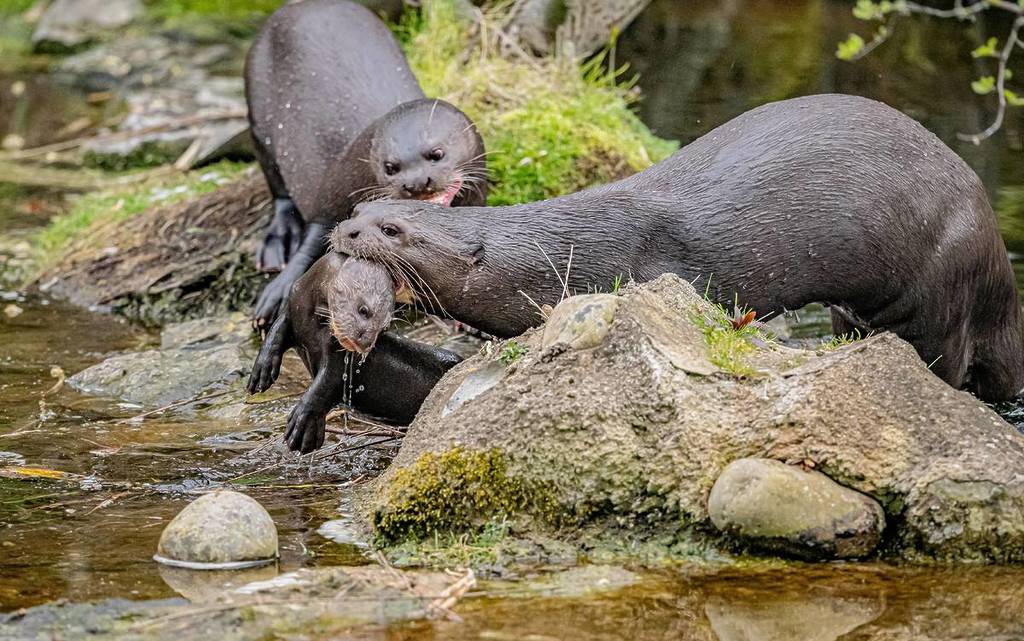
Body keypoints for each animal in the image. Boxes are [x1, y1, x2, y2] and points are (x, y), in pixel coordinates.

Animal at [245, 0, 487, 327]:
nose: (416, 183)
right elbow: (312, 243)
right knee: (278, 189)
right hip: (257, 119)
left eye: (437, 153)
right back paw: (278, 242)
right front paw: (279, 294)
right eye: (390, 167)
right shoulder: (331, 196)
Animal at [248, 251, 461, 453]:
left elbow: (324, 386)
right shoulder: (293, 307)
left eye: (384, 327)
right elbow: (275, 334)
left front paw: (304, 423)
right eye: (363, 310)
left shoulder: (337, 356)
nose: (366, 344)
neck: (311, 320)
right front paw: (261, 372)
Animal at [335, 93, 1024, 402]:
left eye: (393, 230)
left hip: (945, 281)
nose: (344, 233)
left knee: (949, 360)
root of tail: (997, 265)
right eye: (365, 209)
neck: (564, 249)